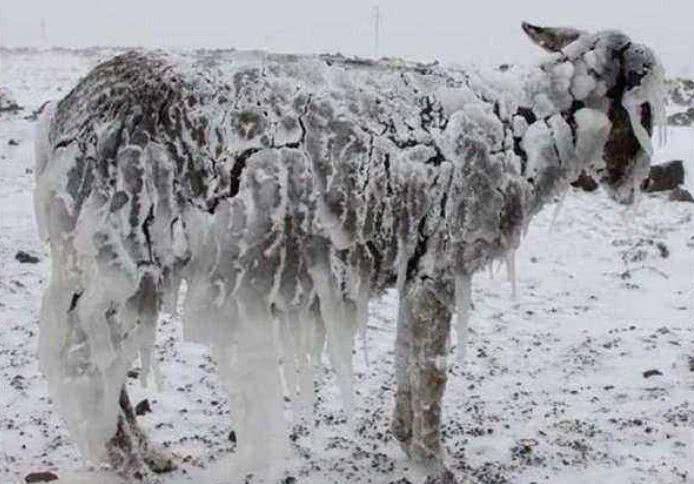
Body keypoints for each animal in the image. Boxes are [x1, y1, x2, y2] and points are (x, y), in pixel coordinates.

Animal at [32, 23, 668, 480]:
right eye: (640, 99)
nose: (632, 181)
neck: (524, 126)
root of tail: (65, 115)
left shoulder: (419, 265)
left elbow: (409, 357)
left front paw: (405, 440)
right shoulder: (442, 260)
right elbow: (432, 371)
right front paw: (434, 464)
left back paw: (148, 456)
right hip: (120, 249)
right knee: (92, 359)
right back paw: (130, 461)